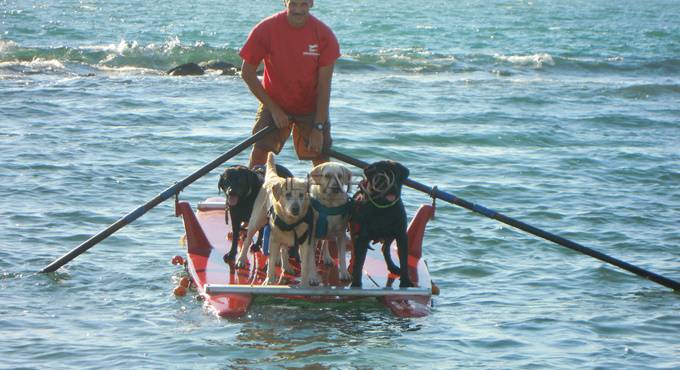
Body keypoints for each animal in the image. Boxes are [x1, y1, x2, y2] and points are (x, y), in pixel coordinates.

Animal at [238, 153, 314, 286]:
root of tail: (274, 177)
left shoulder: (304, 243)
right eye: (287, 195)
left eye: (301, 195)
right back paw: (241, 260)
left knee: (283, 249)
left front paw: (304, 284)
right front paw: (269, 281)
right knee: (247, 240)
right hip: (256, 221)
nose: (295, 209)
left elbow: (305, 266)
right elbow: (271, 263)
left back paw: (286, 266)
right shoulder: (273, 240)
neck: (290, 222)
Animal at [354, 160, 412, 288]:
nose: (391, 187)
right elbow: (359, 262)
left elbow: (404, 260)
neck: (384, 209)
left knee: (385, 248)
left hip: (391, 235)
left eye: (397, 175)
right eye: (380, 176)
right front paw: (355, 283)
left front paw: (406, 281)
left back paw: (393, 267)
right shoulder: (363, 237)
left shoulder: (401, 235)